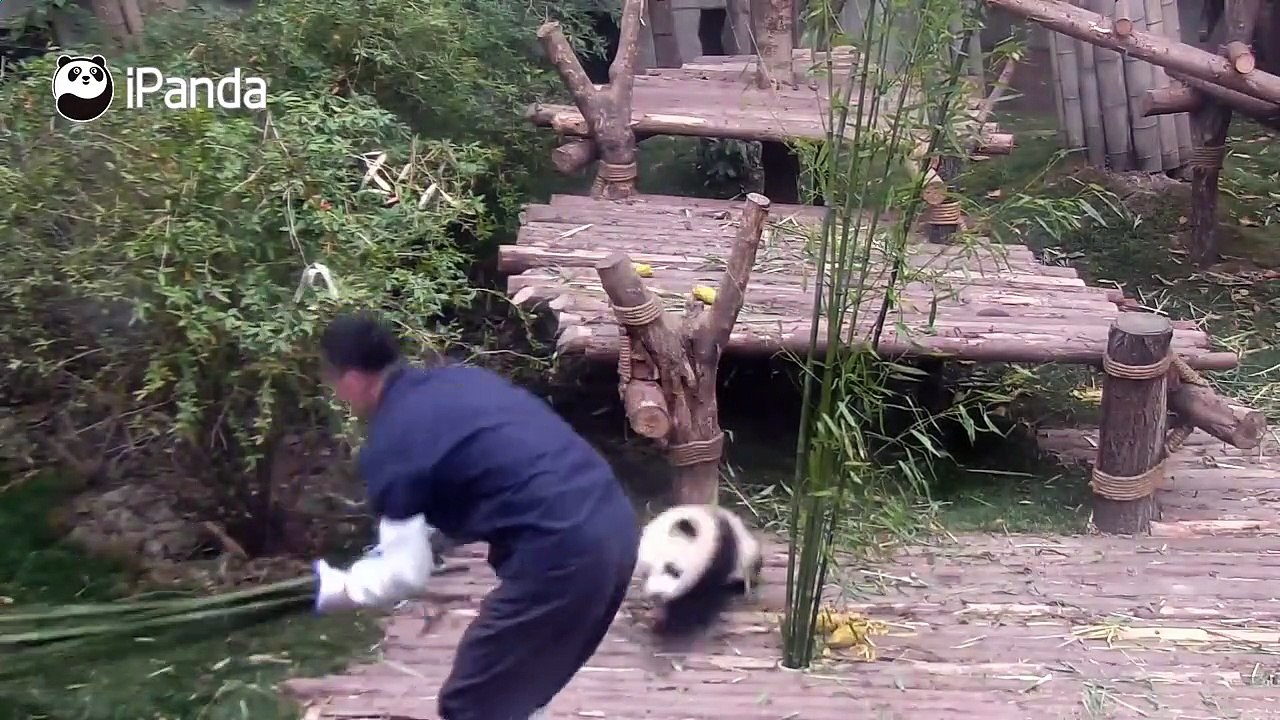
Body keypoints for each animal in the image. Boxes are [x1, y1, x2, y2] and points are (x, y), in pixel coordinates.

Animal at [635, 503, 764, 646]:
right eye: (645, 574)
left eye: (672, 569)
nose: (657, 595)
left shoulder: (721, 550)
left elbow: (705, 594)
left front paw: (681, 622)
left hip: (748, 557)